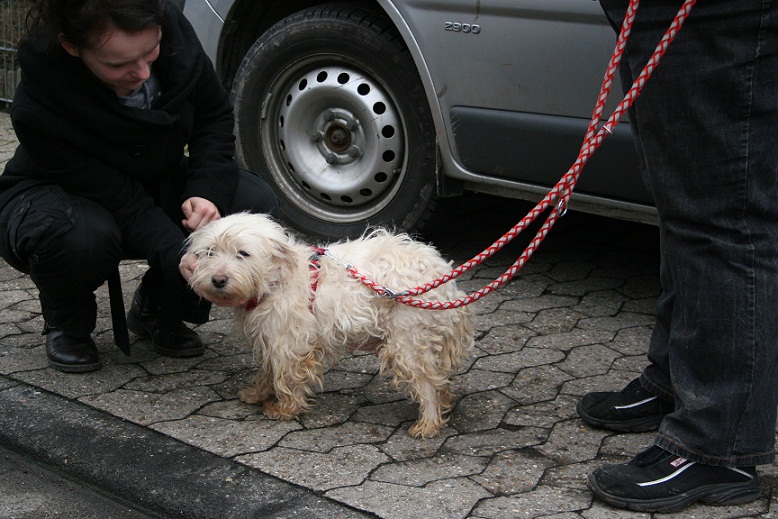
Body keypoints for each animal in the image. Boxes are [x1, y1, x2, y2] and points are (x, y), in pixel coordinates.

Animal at [183, 213, 475, 438]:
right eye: (209, 252)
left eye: (243, 253)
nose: (218, 279)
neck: (276, 280)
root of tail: (444, 279)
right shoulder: (272, 336)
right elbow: (267, 369)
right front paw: (257, 392)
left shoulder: (290, 342)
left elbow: (287, 376)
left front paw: (284, 409)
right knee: (438, 378)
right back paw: (443, 404)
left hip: (408, 342)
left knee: (426, 383)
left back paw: (428, 423)